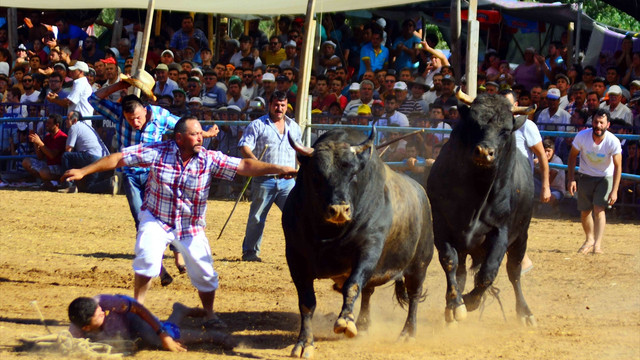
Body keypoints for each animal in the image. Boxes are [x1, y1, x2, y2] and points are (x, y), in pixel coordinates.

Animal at [282, 128, 436, 358]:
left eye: (353, 174)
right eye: (317, 175)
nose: (339, 210)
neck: (327, 233)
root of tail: (421, 193)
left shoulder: (368, 250)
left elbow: (352, 285)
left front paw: (345, 321)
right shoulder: (295, 257)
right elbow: (307, 302)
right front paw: (304, 342)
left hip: (419, 265)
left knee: (414, 297)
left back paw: (407, 333)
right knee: (369, 292)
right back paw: (364, 324)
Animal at [428, 94, 536, 324]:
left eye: (506, 130)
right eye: (474, 123)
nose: (484, 152)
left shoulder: (501, 231)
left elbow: (488, 272)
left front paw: (470, 300)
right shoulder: (442, 225)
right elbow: (450, 262)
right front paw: (455, 304)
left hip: (521, 237)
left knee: (513, 272)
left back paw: (525, 312)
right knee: (460, 271)